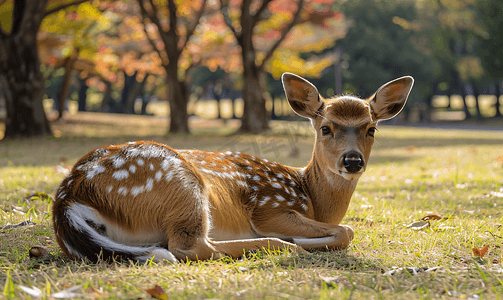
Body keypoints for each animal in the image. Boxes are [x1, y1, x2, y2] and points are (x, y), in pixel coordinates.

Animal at [52, 73, 414, 262]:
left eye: (371, 129)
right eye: (326, 128)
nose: (352, 161)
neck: (312, 196)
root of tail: (68, 198)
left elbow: (346, 229)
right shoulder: (270, 208)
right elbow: (346, 230)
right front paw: (307, 239)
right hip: (180, 184)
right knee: (189, 247)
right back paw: (283, 244)